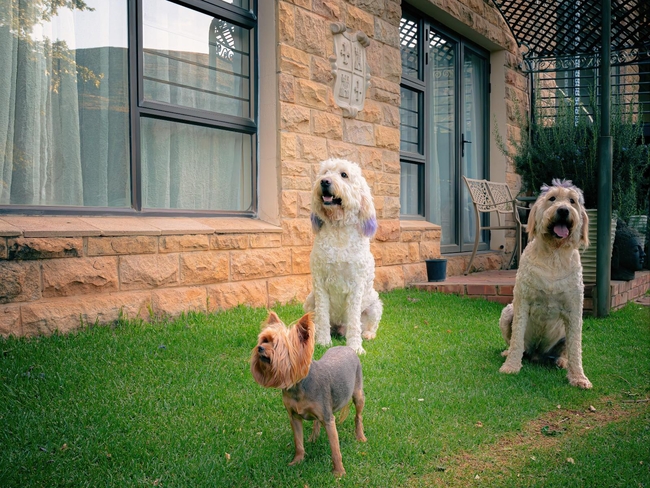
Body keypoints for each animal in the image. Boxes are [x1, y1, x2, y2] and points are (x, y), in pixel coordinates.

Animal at [250, 311, 366, 477]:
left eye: (278, 345)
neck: (297, 386)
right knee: (316, 422)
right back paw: (313, 438)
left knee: (358, 416)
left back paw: (360, 436)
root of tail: (346, 347)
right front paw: (297, 461)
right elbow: (298, 442)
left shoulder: (328, 419)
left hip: (358, 394)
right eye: (265, 340)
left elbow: (335, 449)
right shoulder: (294, 417)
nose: (259, 348)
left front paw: (339, 472)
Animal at [304, 158, 383, 354]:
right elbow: (323, 316)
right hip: (310, 301)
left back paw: (367, 335)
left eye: (344, 175)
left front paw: (355, 347)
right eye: (325, 172)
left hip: (374, 305)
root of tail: (339, 327)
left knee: (368, 325)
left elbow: (354, 321)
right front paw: (323, 342)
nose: (324, 181)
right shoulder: (320, 283)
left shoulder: (356, 286)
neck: (338, 229)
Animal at [499, 179, 592, 389]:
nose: (563, 210)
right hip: (508, 312)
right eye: (552, 198)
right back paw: (508, 353)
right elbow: (517, 338)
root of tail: (537, 355)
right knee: (515, 343)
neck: (554, 255)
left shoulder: (575, 309)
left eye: (572, 201)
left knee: (566, 349)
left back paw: (562, 361)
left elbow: (576, 347)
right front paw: (511, 366)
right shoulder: (522, 301)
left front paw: (578, 377)